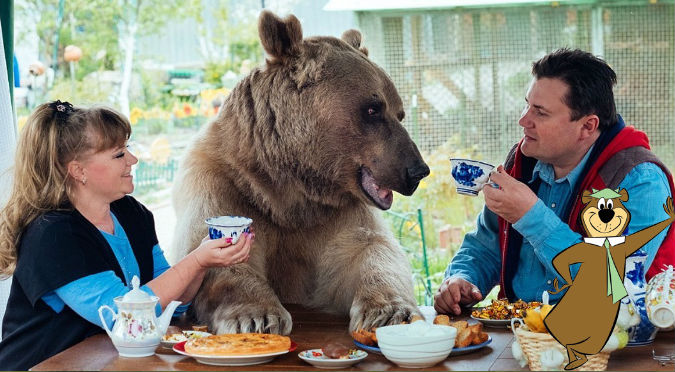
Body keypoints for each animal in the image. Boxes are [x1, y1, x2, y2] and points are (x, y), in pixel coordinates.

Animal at [172, 10, 430, 336]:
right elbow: (215, 253)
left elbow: (369, 250)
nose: (417, 170)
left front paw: (390, 312)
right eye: (373, 109)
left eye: (399, 113)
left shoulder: (335, 214)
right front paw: (257, 316)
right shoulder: (223, 184)